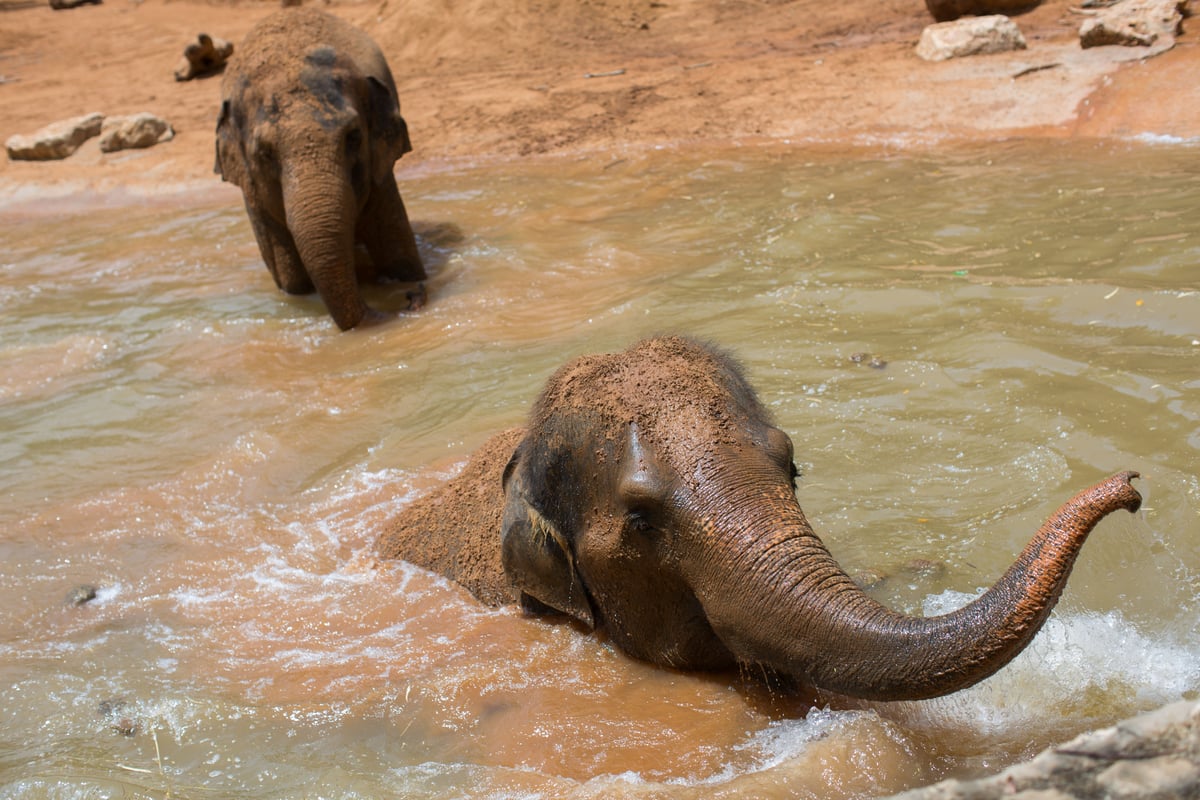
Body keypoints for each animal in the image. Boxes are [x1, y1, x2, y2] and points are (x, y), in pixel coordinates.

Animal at [216, 7, 427, 331]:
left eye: (354, 137)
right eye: (264, 153)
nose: (411, 297)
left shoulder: (380, 174)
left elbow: (399, 256)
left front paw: (408, 278)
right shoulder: (256, 201)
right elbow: (293, 282)